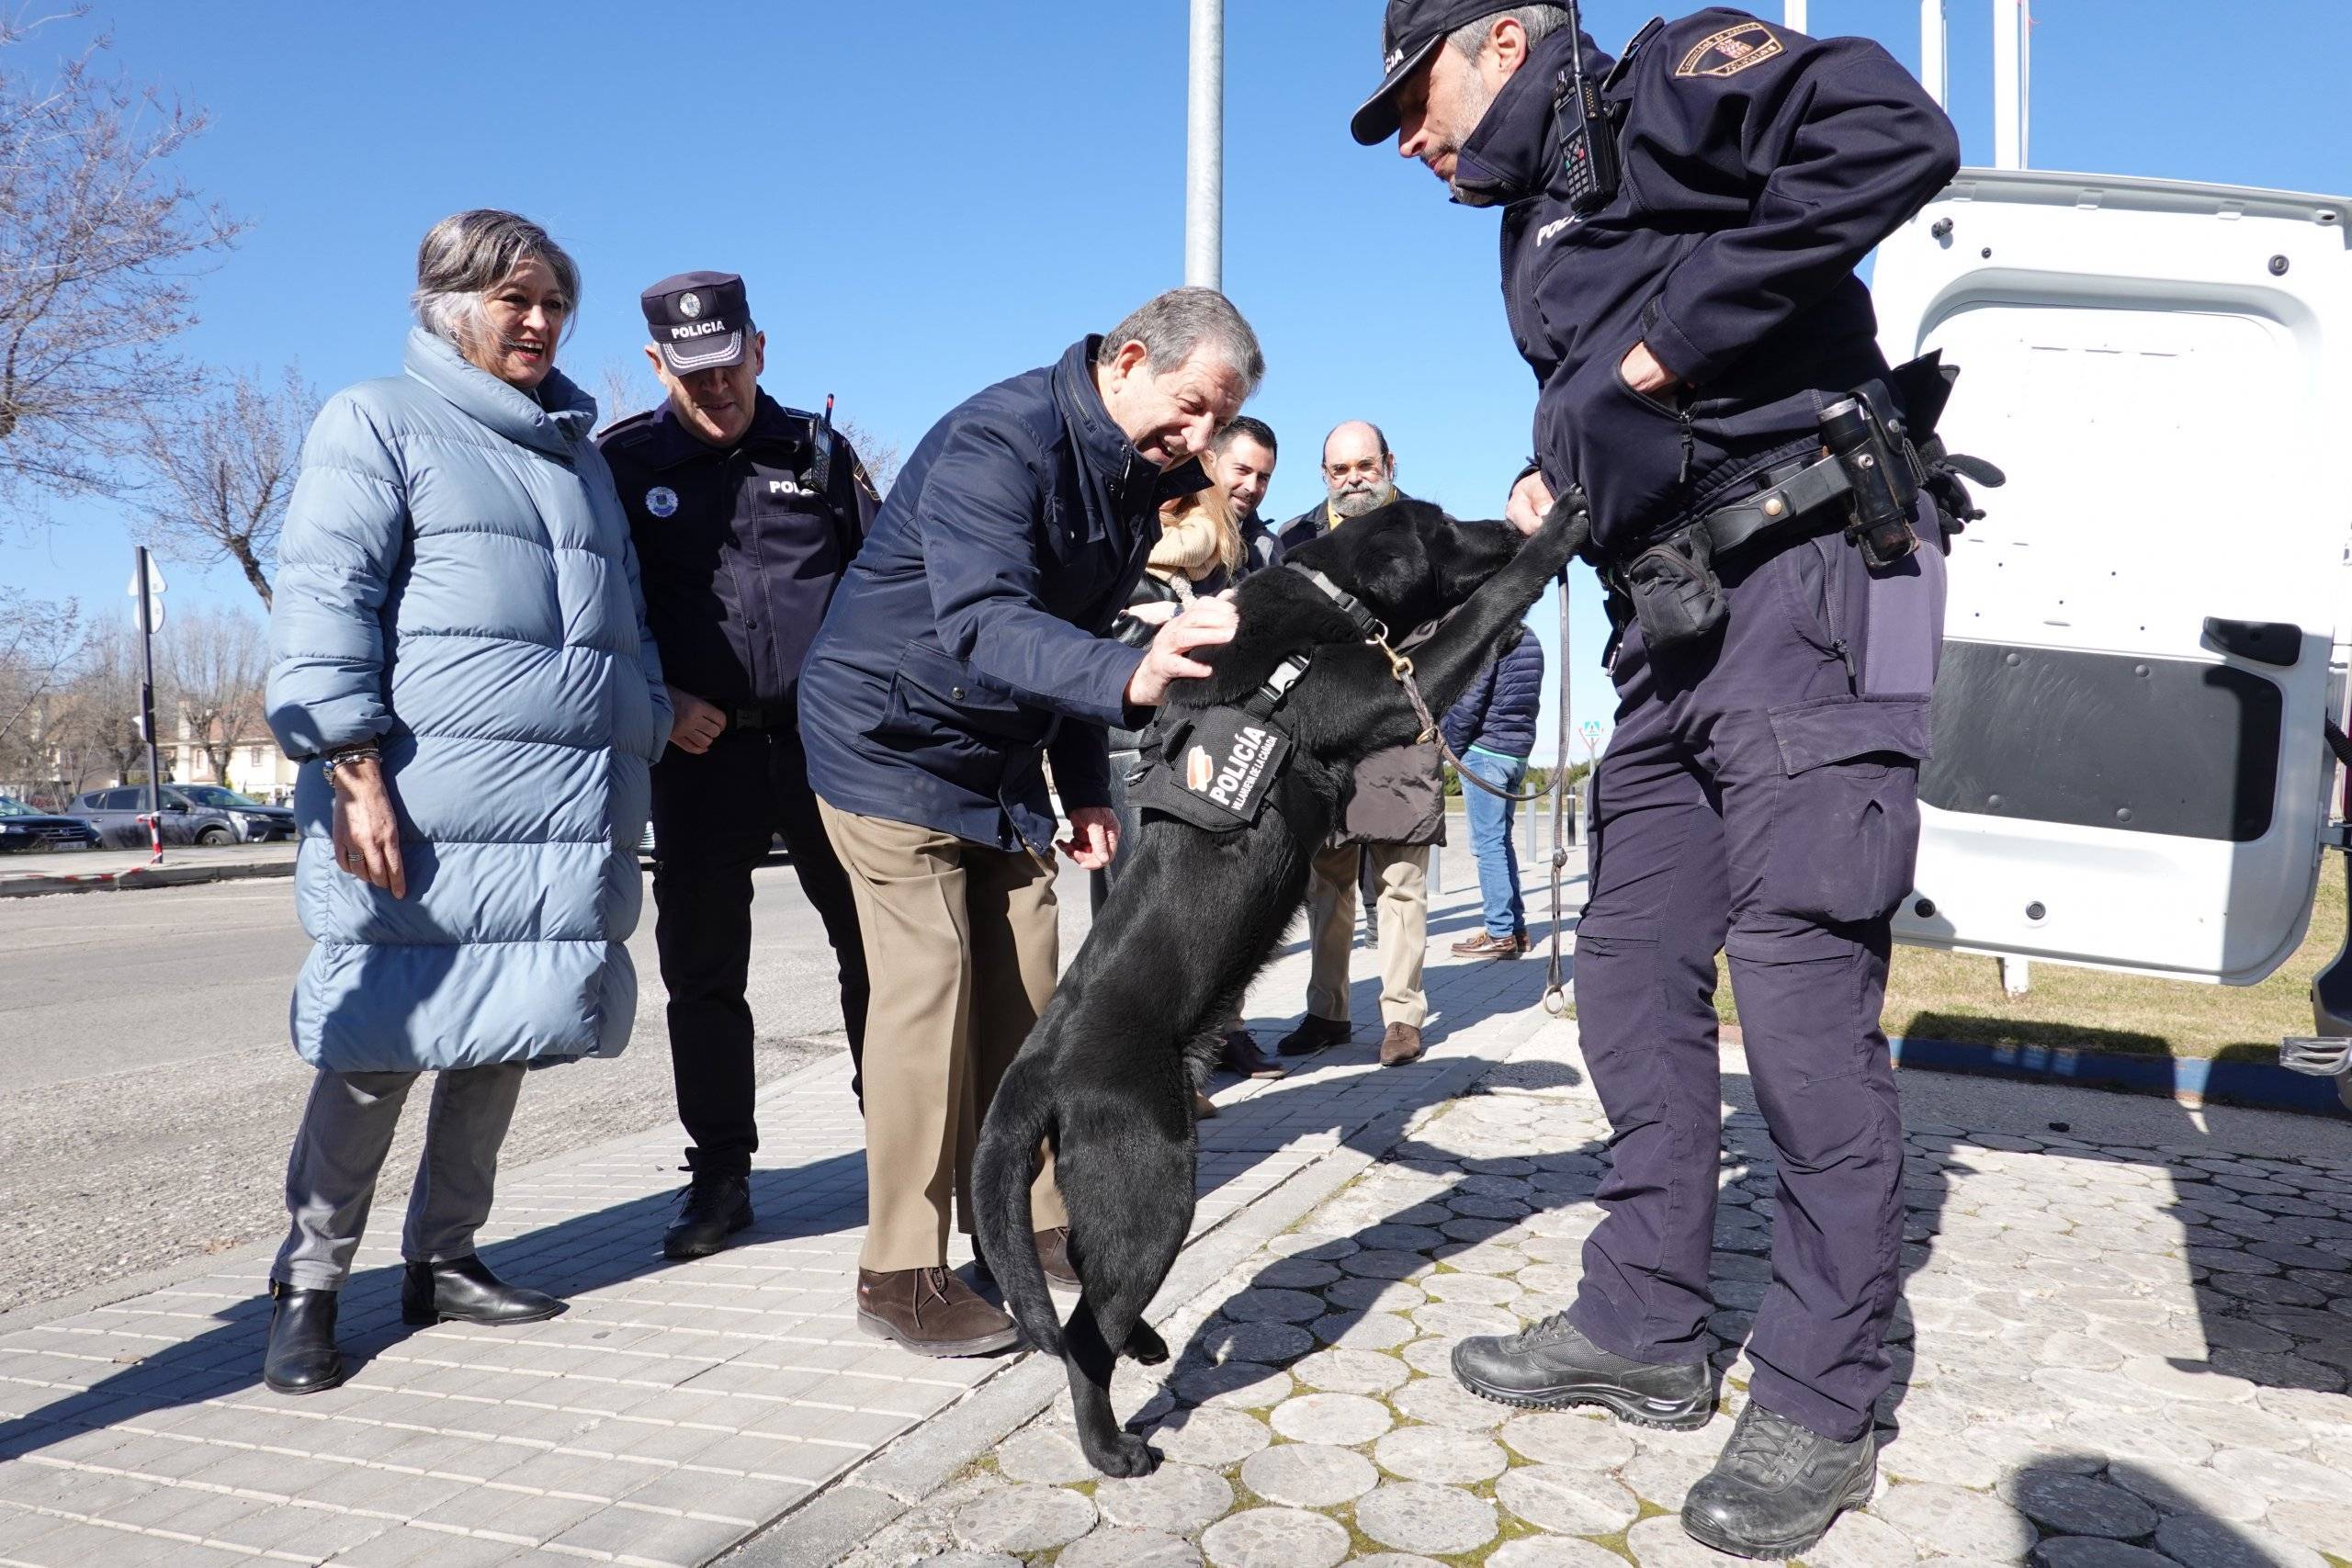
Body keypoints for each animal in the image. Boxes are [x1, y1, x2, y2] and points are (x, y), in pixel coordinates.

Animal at [964, 493, 1589, 1485]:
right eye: (1444, 524)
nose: (1504, 516)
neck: (1319, 596)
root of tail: (1034, 1069)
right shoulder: (1390, 693)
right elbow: (1485, 612)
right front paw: (1556, 532)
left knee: (1095, 1307)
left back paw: (1146, 1345)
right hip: (1152, 1186)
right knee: (1082, 1336)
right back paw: (1111, 1444)